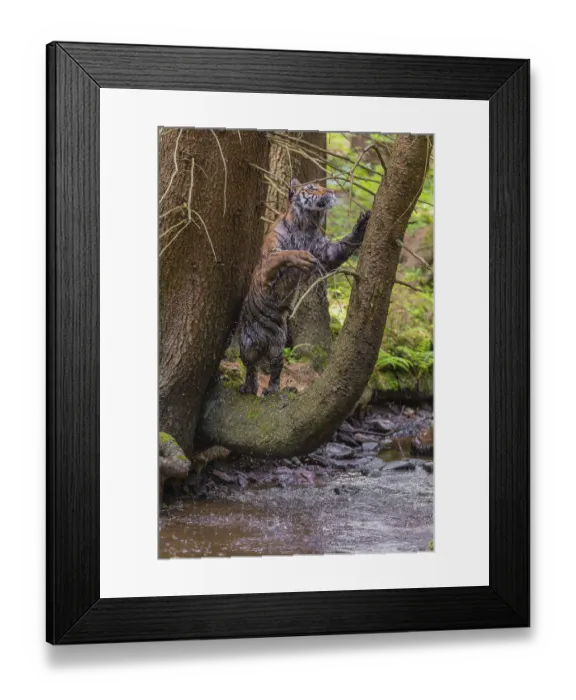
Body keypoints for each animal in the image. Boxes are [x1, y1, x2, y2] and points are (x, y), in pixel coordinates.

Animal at [237, 178, 371, 396]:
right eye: (312, 188)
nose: (331, 191)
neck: (306, 225)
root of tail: (263, 340)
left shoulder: (327, 252)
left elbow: (343, 245)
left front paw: (362, 224)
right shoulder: (268, 263)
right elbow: (285, 254)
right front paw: (301, 257)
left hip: (277, 345)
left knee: (274, 369)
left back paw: (271, 390)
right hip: (247, 346)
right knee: (251, 367)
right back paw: (248, 387)